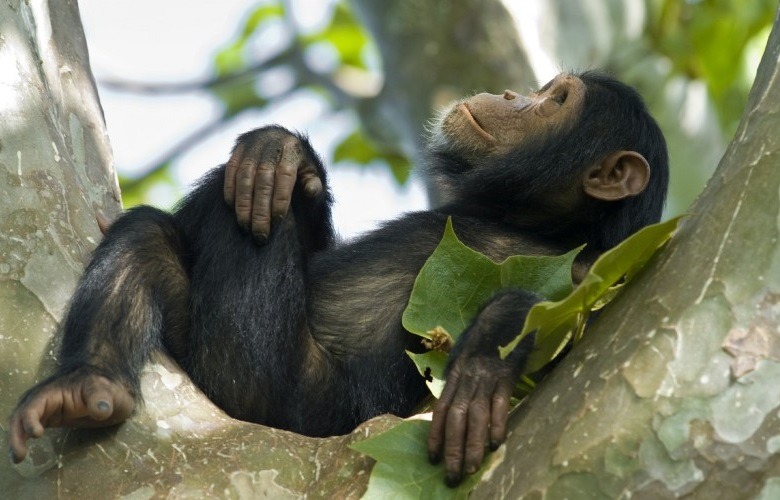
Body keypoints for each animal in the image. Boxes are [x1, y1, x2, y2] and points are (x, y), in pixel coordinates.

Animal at [9, 70, 668, 484]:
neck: (532, 221)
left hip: (266, 383)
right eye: (543, 91)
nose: (514, 92)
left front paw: (482, 366)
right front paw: (280, 154)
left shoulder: (597, 268)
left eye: (557, 101)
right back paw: (88, 385)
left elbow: (569, 316)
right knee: (154, 234)